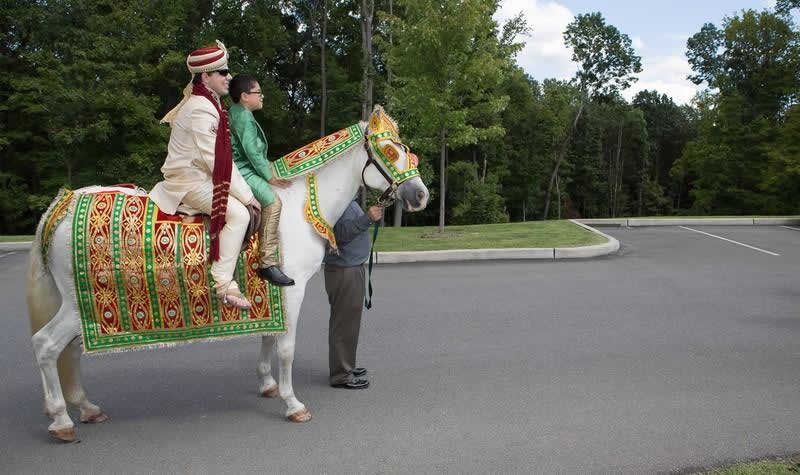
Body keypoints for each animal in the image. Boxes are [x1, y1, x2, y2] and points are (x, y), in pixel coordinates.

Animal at [26, 109, 424, 442]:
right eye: (390, 151)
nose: (420, 194)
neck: (298, 206)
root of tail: (62, 204)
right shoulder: (292, 290)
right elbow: (286, 349)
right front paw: (293, 404)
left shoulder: (271, 291)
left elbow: (268, 337)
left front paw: (268, 385)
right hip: (79, 306)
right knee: (46, 345)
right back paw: (61, 420)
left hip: (82, 308)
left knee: (69, 350)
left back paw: (85, 407)